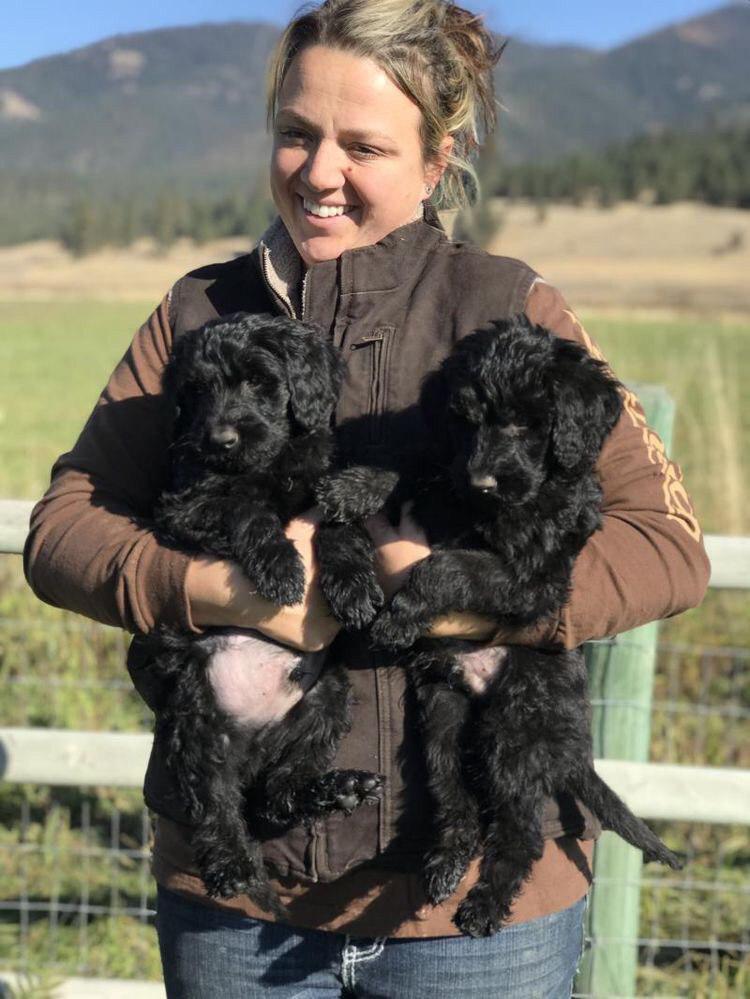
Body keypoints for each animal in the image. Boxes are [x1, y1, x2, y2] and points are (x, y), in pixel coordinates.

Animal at [142, 312, 384, 916]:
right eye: (198, 390)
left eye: (258, 380)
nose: (221, 439)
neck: (272, 460)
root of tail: (250, 747)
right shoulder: (184, 506)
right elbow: (244, 505)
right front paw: (279, 568)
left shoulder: (322, 480)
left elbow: (340, 525)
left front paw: (352, 584)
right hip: (193, 712)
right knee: (216, 802)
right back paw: (232, 865)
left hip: (325, 702)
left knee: (277, 796)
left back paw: (336, 789)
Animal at [326, 318, 684, 936]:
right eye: (466, 419)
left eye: (522, 422)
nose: (483, 481)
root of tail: (572, 747)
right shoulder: (445, 471)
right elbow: (412, 460)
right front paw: (355, 486)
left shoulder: (530, 580)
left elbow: (445, 565)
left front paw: (398, 618)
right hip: (442, 718)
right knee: (458, 803)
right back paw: (446, 865)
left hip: (515, 732)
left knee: (520, 836)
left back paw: (483, 905)